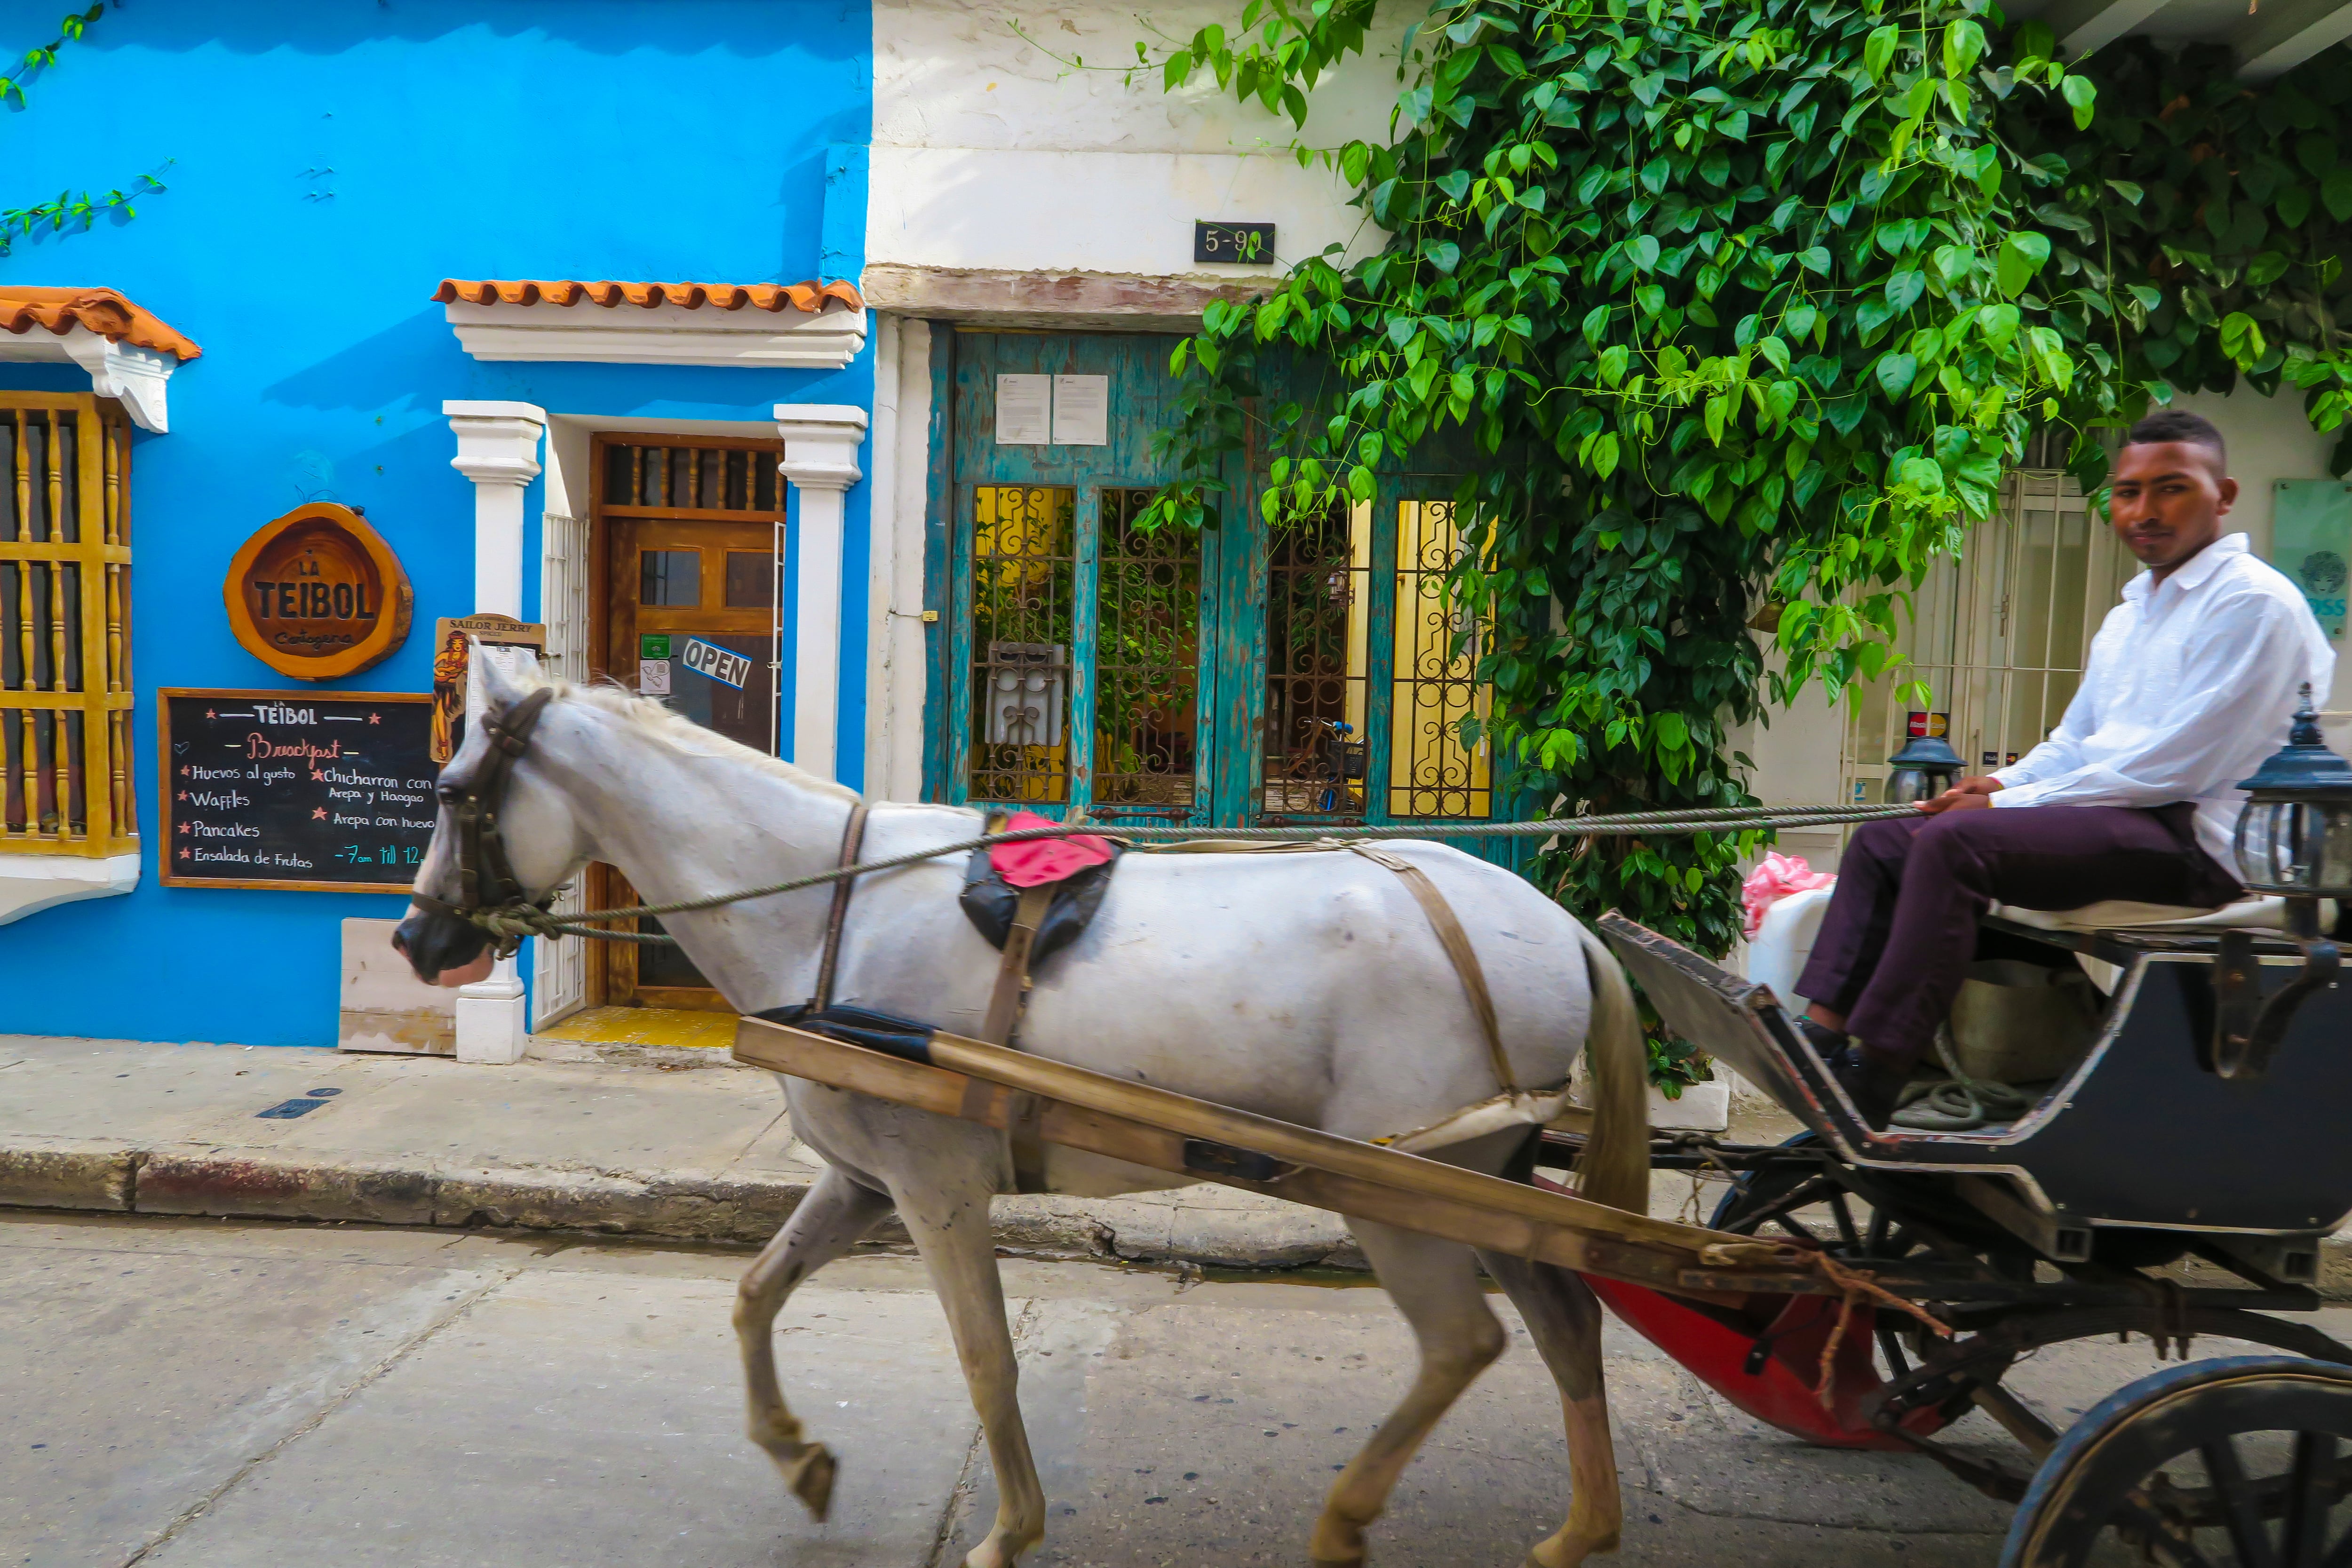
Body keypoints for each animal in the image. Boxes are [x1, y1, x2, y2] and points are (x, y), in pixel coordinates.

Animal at [394, 657, 1652, 1568]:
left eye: (453, 794)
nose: (412, 937)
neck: (826, 909)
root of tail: (1557, 925)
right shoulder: (863, 1178)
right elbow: (755, 1294)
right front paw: (798, 1458)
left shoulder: (936, 1185)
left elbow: (984, 1355)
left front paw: (1008, 1529)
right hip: (1492, 1176)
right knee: (1561, 1320)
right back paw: (1580, 1529)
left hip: (1399, 1188)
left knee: (1465, 1340)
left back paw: (1349, 1519)